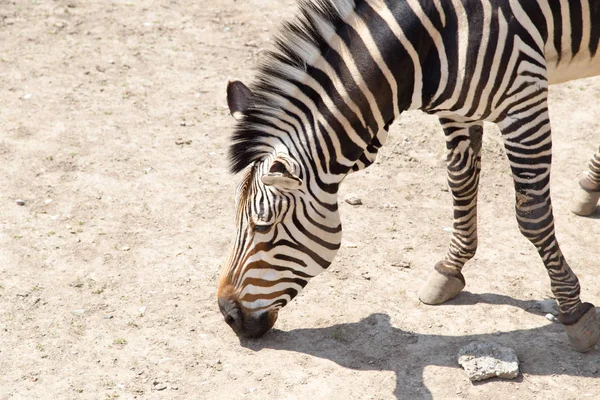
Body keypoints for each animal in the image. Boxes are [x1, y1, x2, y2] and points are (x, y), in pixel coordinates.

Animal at [217, 0, 600, 350]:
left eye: (263, 227)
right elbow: (461, 181)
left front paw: (573, 310)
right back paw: (590, 188)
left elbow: (531, 214)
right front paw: (449, 269)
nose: (227, 314)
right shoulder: (457, 108)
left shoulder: (523, 99)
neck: (434, 36)